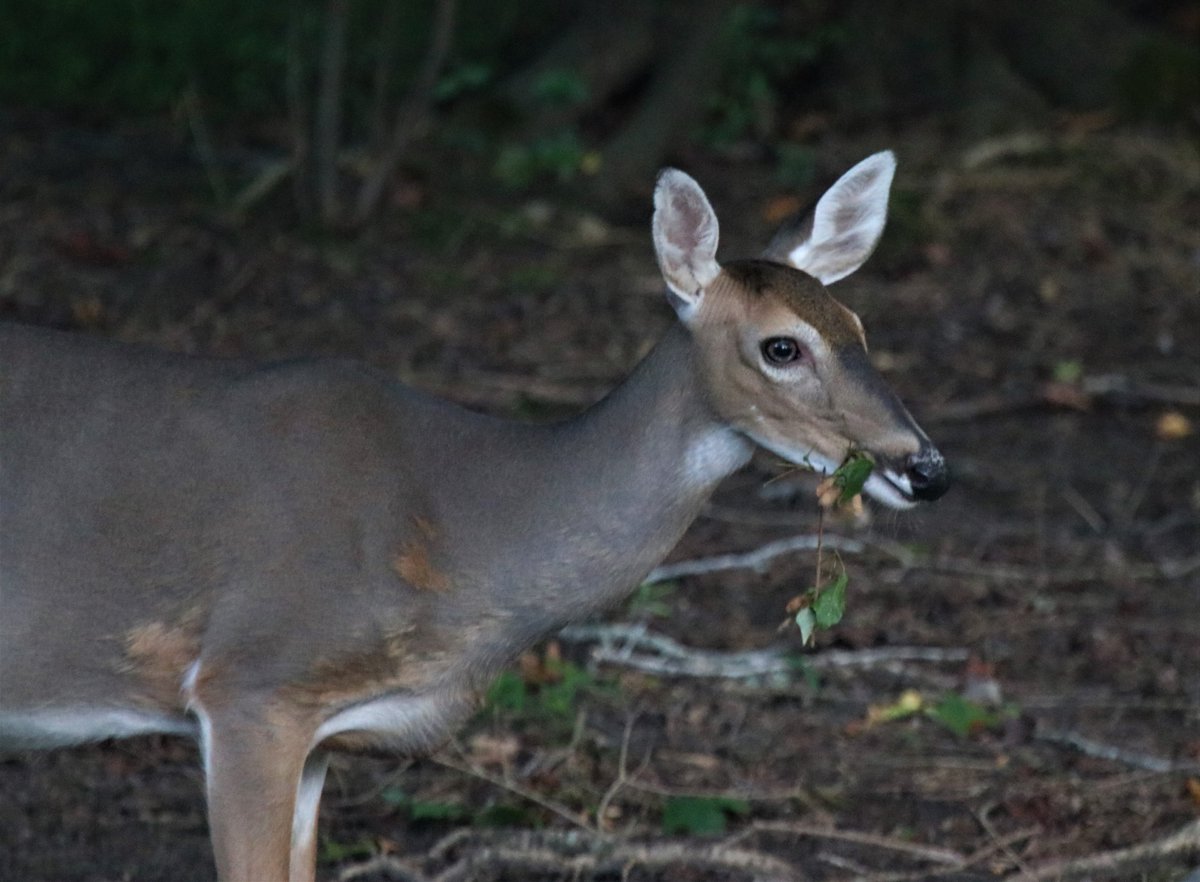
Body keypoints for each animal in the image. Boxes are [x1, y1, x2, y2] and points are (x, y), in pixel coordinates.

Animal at [0, 151, 948, 882]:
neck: (459, 533)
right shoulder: (251, 681)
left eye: (859, 326)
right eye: (781, 346)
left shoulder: (316, 732)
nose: (927, 468)